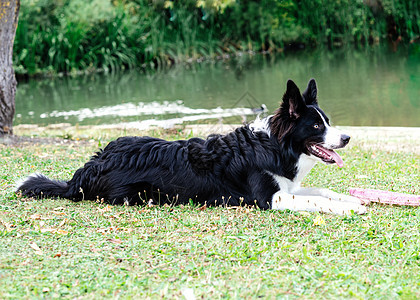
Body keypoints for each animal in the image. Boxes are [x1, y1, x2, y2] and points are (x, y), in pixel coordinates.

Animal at [16, 78, 366, 214]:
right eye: (317, 127)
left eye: (328, 121)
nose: (347, 138)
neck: (274, 145)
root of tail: (87, 169)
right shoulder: (269, 199)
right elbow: (315, 200)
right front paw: (348, 208)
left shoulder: (287, 187)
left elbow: (323, 192)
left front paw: (353, 200)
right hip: (138, 194)